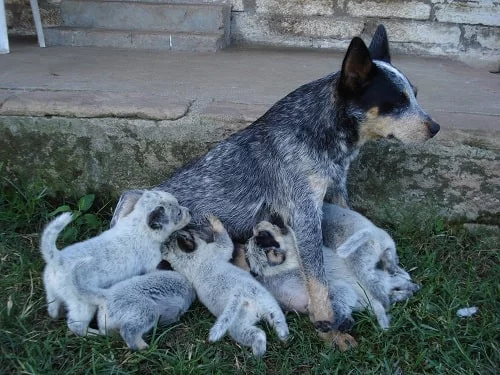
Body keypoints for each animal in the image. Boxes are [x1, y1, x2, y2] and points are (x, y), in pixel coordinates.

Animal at [39, 191, 189, 338]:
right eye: (178, 213)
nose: (189, 211)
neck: (139, 226)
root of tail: (56, 258)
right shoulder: (153, 263)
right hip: (83, 305)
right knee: (76, 325)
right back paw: (95, 334)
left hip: (52, 293)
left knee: (52, 309)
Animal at [164, 216, 290, 356]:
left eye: (188, 232)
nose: (171, 233)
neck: (193, 258)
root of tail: (242, 296)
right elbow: (225, 242)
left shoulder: (210, 251)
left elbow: (223, 241)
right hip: (255, 313)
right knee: (269, 326)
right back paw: (272, 344)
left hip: (252, 315)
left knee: (268, 328)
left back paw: (269, 346)